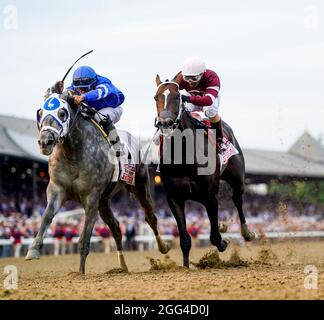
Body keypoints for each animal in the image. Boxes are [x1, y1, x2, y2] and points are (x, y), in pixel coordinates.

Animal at [26, 92, 170, 272]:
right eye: (40, 113)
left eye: (62, 113)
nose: (45, 142)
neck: (73, 153)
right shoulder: (57, 190)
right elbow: (46, 217)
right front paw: (33, 250)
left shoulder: (91, 197)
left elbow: (84, 239)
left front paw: (80, 273)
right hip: (104, 201)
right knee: (116, 228)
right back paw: (122, 266)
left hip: (139, 186)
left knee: (151, 218)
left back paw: (163, 247)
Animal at [154, 74, 256, 266]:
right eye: (156, 97)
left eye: (177, 97)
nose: (165, 123)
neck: (184, 156)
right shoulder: (174, 197)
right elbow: (185, 239)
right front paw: (186, 267)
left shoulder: (210, 195)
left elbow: (215, 236)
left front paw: (223, 241)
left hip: (237, 179)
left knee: (237, 200)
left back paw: (247, 232)